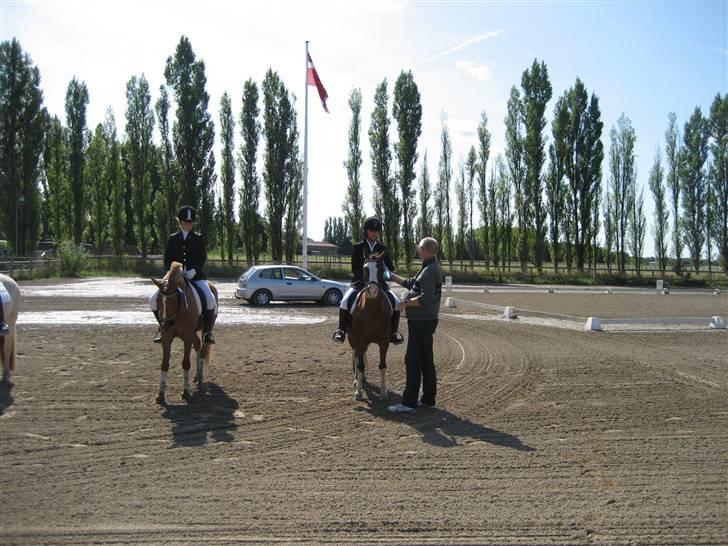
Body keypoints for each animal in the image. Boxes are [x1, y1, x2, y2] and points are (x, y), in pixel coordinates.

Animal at [149, 260, 215, 404]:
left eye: (173, 301)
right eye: (157, 301)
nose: (165, 325)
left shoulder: (187, 337)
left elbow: (185, 363)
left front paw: (185, 392)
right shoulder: (167, 337)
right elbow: (164, 364)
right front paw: (161, 394)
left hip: (205, 329)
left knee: (202, 350)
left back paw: (200, 379)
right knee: (198, 346)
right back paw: (196, 377)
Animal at [346, 251, 392, 400]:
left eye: (382, 270)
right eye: (365, 269)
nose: (372, 291)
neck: (371, 310)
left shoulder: (384, 342)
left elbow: (382, 365)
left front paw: (383, 393)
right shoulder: (359, 340)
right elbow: (360, 365)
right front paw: (358, 392)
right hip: (352, 339)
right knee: (356, 356)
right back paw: (357, 380)